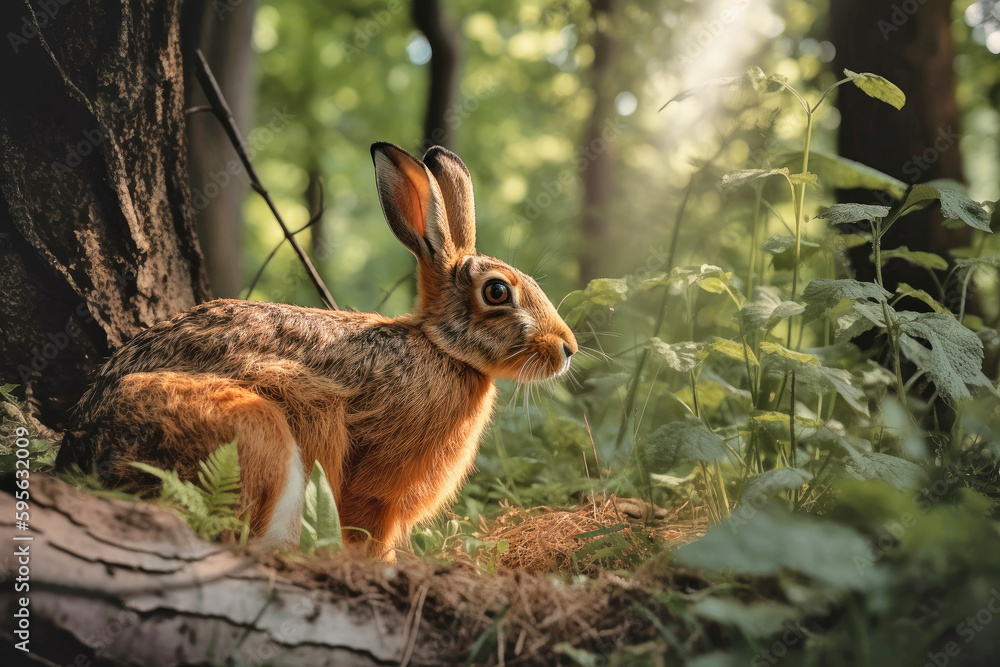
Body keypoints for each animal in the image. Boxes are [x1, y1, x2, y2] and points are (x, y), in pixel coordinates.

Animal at [55, 141, 578, 560]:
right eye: (497, 292)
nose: (567, 348)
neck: (440, 349)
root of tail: (83, 455)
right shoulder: (375, 482)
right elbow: (366, 531)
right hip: (253, 429)